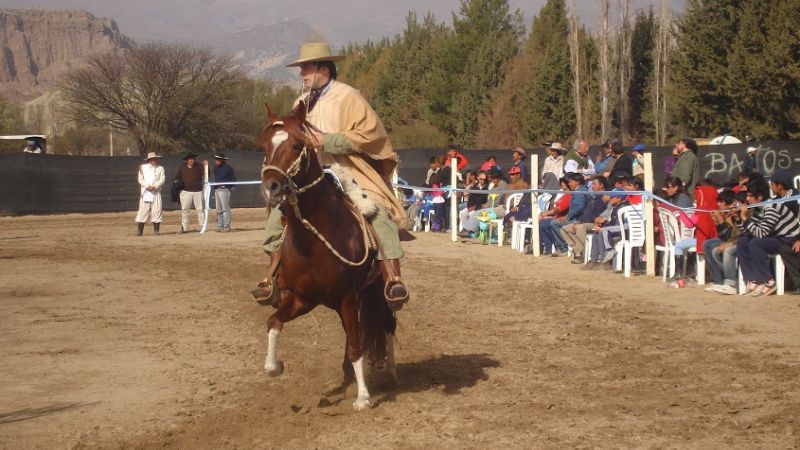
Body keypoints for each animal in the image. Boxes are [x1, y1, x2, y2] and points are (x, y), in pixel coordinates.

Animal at [257, 101, 397, 412]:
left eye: (297, 145)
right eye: (264, 146)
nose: (271, 187)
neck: (312, 243)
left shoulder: (346, 298)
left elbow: (357, 346)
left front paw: (362, 397)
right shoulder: (303, 298)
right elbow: (273, 323)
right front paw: (275, 366)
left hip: (377, 291)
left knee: (387, 324)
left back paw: (388, 368)